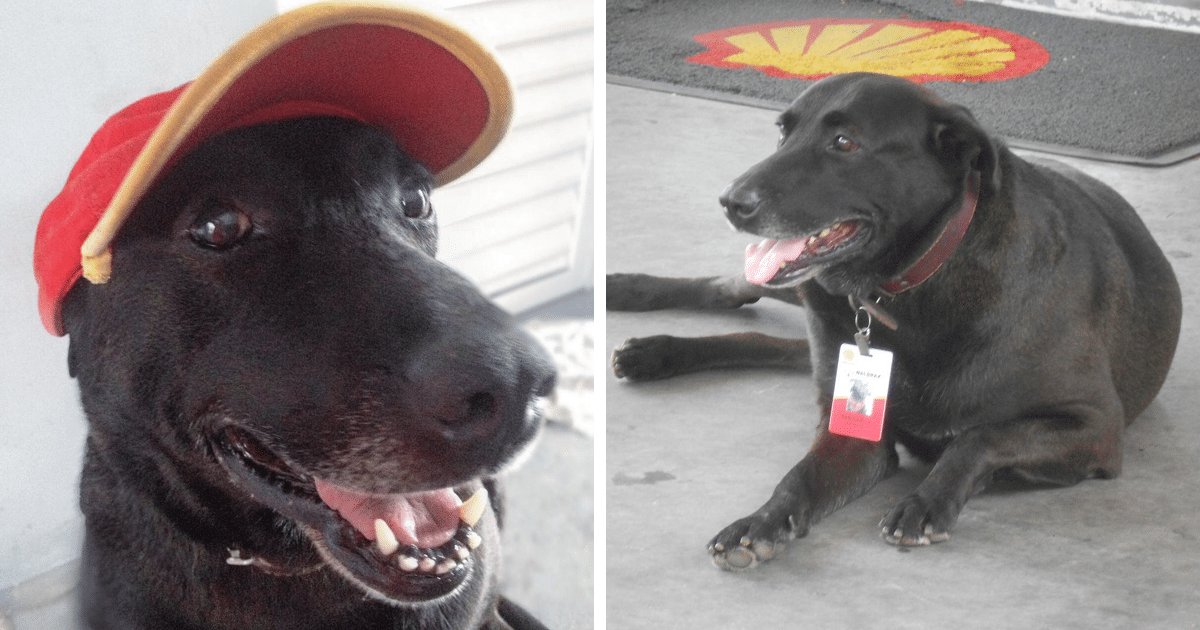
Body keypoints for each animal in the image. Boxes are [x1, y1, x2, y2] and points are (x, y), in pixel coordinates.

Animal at [609, 72, 1180, 568]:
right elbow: (798, 478)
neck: (906, 288)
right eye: (783, 132)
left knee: (764, 335)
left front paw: (926, 501)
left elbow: (981, 436)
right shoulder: (854, 433)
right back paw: (633, 309)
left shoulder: (1096, 426)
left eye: (844, 142)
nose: (730, 201)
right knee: (736, 291)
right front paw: (760, 520)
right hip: (802, 290)